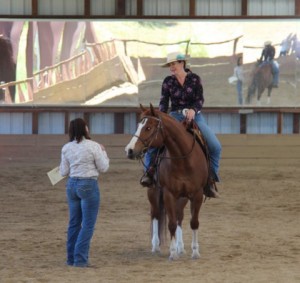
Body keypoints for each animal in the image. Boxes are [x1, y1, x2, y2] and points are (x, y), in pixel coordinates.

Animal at [125, 105, 210, 262]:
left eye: (148, 128)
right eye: (139, 125)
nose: (129, 150)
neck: (184, 159)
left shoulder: (197, 194)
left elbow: (193, 222)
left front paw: (195, 252)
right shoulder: (168, 194)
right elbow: (171, 224)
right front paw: (172, 253)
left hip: (182, 197)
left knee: (179, 216)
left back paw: (181, 247)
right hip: (153, 192)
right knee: (156, 214)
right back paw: (156, 246)